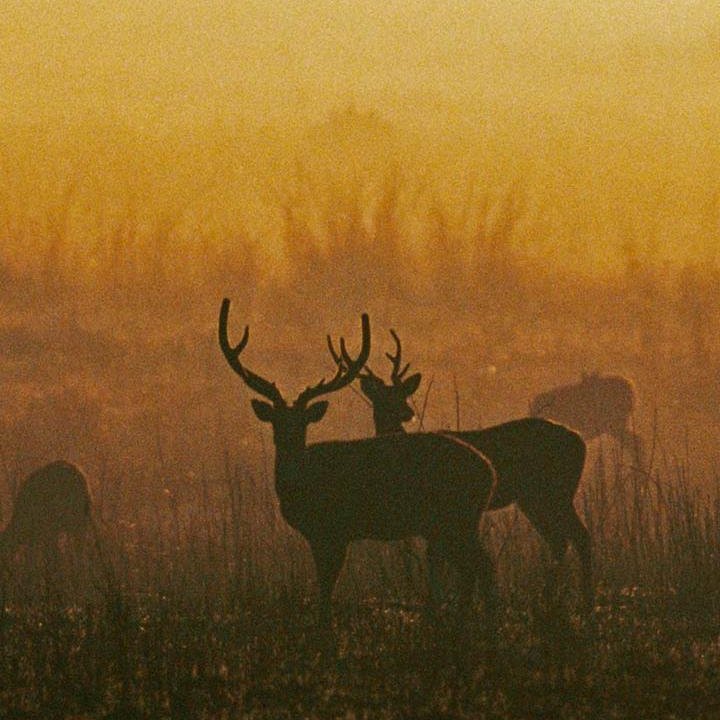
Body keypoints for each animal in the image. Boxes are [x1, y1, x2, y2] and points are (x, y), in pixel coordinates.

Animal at [221, 300, 500, 628]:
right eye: (276, 421)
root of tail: (488, 471)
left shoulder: (335, 529)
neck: (303, 486)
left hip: (456, 517)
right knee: (473, 567)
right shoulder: (319, 535)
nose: (288, 443)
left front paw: (325, 628)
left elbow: (328, 585)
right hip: (452, 522)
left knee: (483, 565)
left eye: (302, 422)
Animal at [332, 330, 592, 608]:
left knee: (577, 536)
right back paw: (551, 597)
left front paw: (442, 601)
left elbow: (436, 557)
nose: (408, 412)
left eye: (402, 394)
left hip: (554, 492)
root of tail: (579, 441)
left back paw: (581, 600)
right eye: (384, 397)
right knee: (561, 539)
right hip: (535, 498)